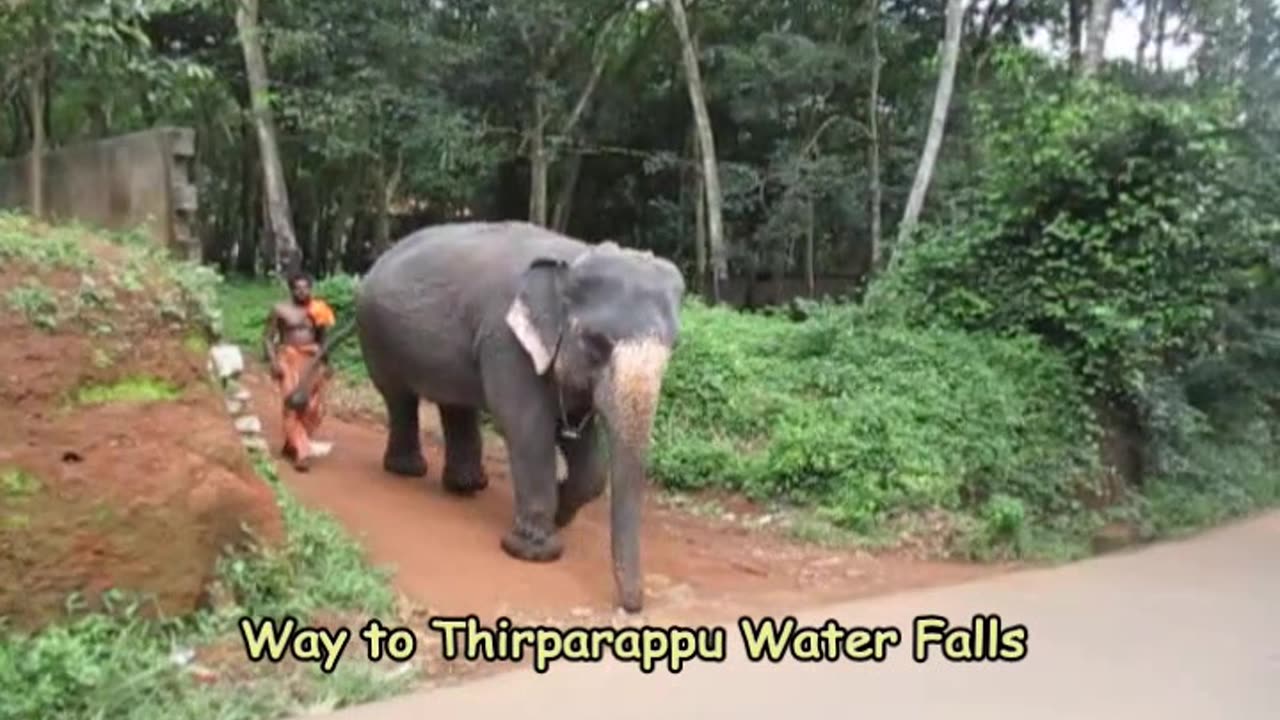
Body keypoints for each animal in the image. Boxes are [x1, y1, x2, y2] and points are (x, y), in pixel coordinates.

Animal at [285, 221, 686, 613]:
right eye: (596, 342)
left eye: (672, 347)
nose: (632, 606)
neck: (574, 257)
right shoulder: (505, 341)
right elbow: (527, 427)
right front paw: (533, 551)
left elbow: (588, 463)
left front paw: (560, 514)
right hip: (378, 336)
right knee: (400, 398)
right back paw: (410, 471)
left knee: (454, 405)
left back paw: (467, 485)